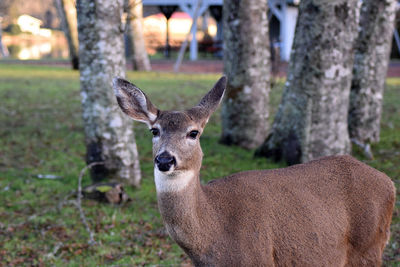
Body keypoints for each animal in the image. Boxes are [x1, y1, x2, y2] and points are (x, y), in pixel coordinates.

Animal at [111, 76, 394, 266]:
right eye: (154, 131)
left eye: (193, 133)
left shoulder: (259, 258)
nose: (164, 159)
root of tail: (389, 182)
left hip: (369, 246)